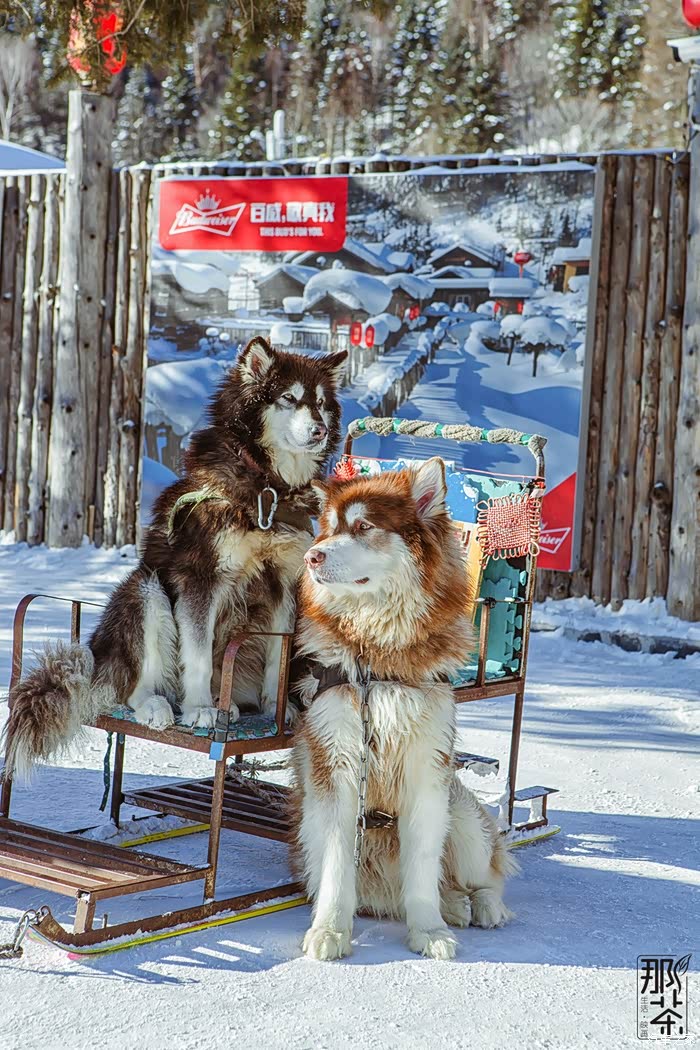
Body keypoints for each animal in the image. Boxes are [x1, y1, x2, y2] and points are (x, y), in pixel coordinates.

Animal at [3, 337, 347, 781]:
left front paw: (276, 707)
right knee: (132, 686)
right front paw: (199, 707)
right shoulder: (201, 578)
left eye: (321, 403)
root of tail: (99, 658)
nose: (320, 430)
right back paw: (160, 704)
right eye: (289, 398)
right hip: (145, 590)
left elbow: (278, 660)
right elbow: (197, 655)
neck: (265, 488)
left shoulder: (285, 586)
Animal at [290, 457, 516, 961]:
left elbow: (423, 867)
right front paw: (330, 929)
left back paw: (481, 905)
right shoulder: (337, 767)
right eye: (328, 530)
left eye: (363, 527)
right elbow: (337, 865)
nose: (312, 557)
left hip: (465, 821)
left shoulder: (426, 770)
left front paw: (429, 930)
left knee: (485, 874)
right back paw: (454, 905)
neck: (378, 657)